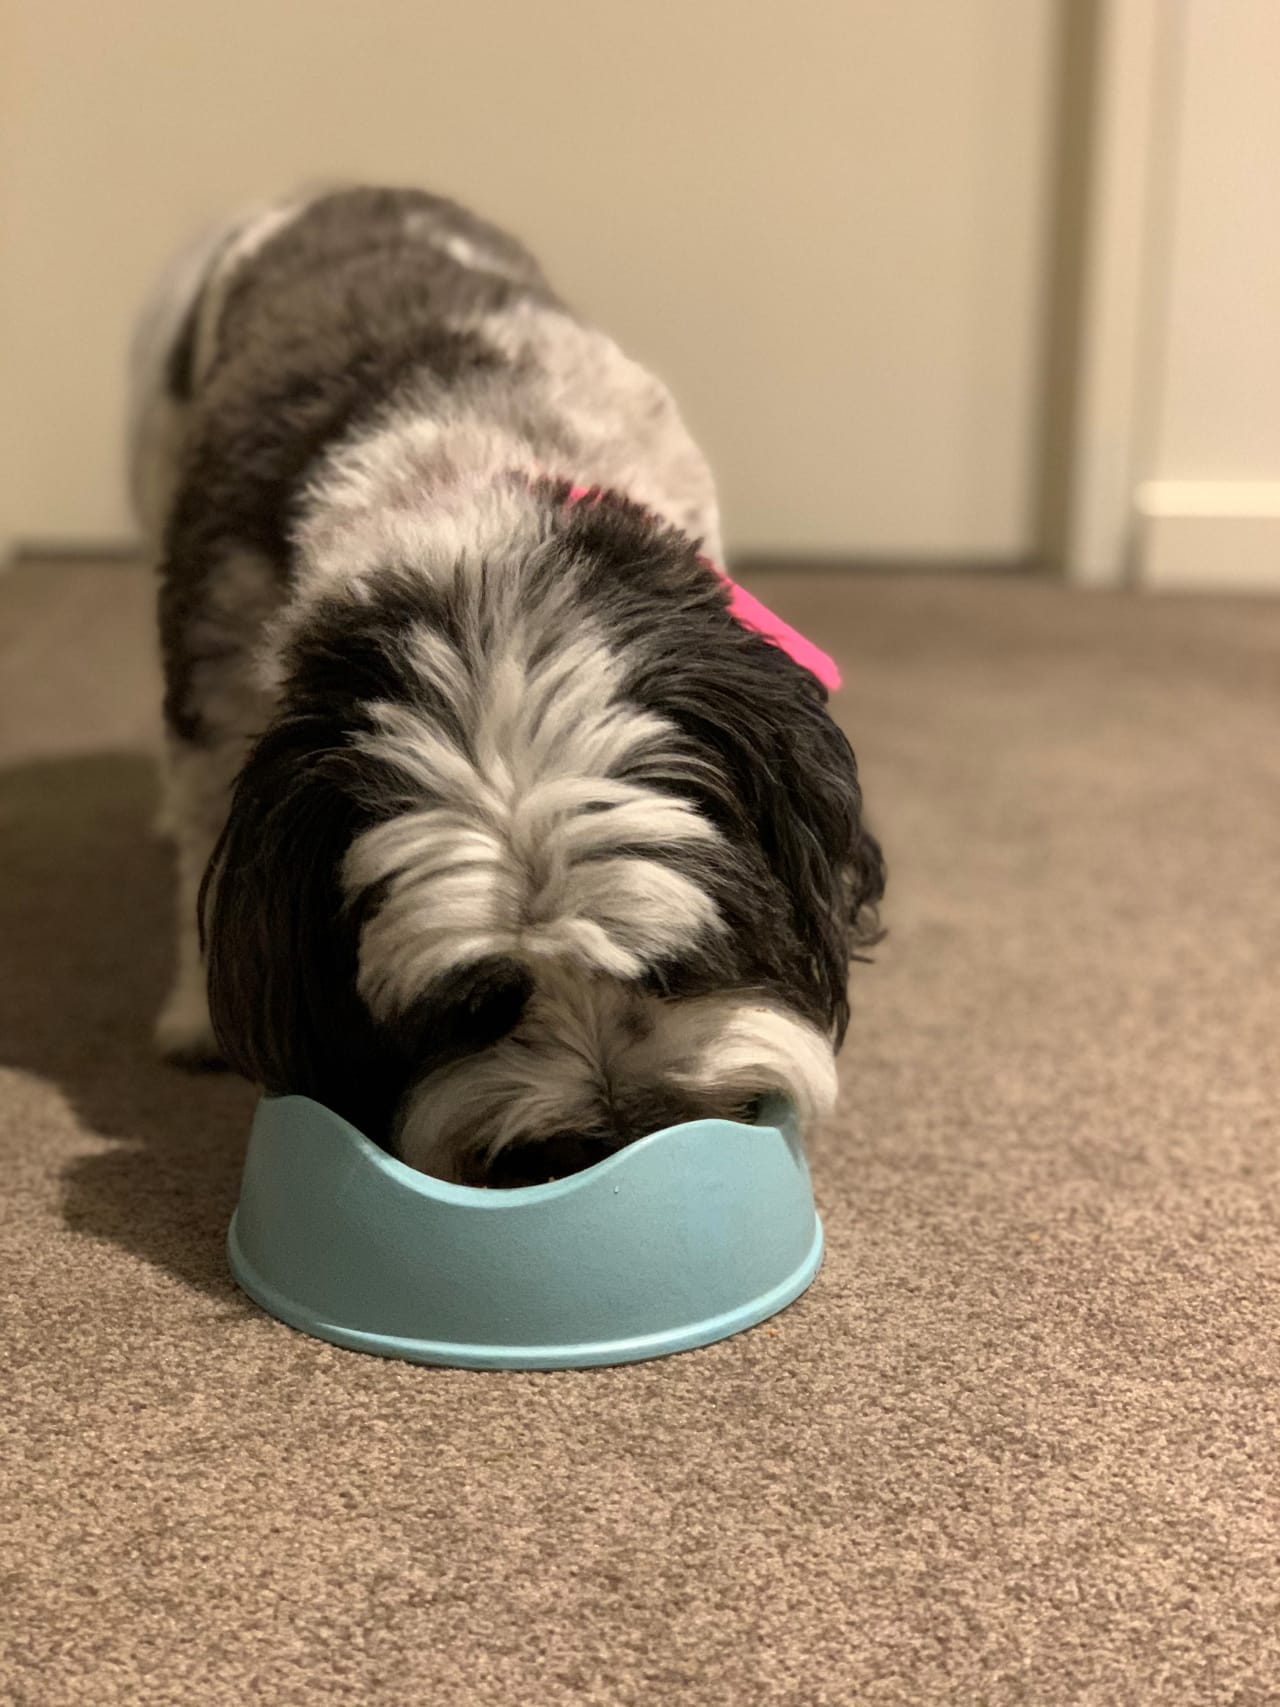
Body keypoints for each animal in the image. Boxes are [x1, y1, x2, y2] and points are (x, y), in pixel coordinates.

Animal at [130, 180, 887, 1181]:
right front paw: (194, 1014)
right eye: (478, 1007)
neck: (476, 529)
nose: (607, 1133)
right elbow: (199, 828)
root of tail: (336, 191)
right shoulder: (215, 678)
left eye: (676, 967)